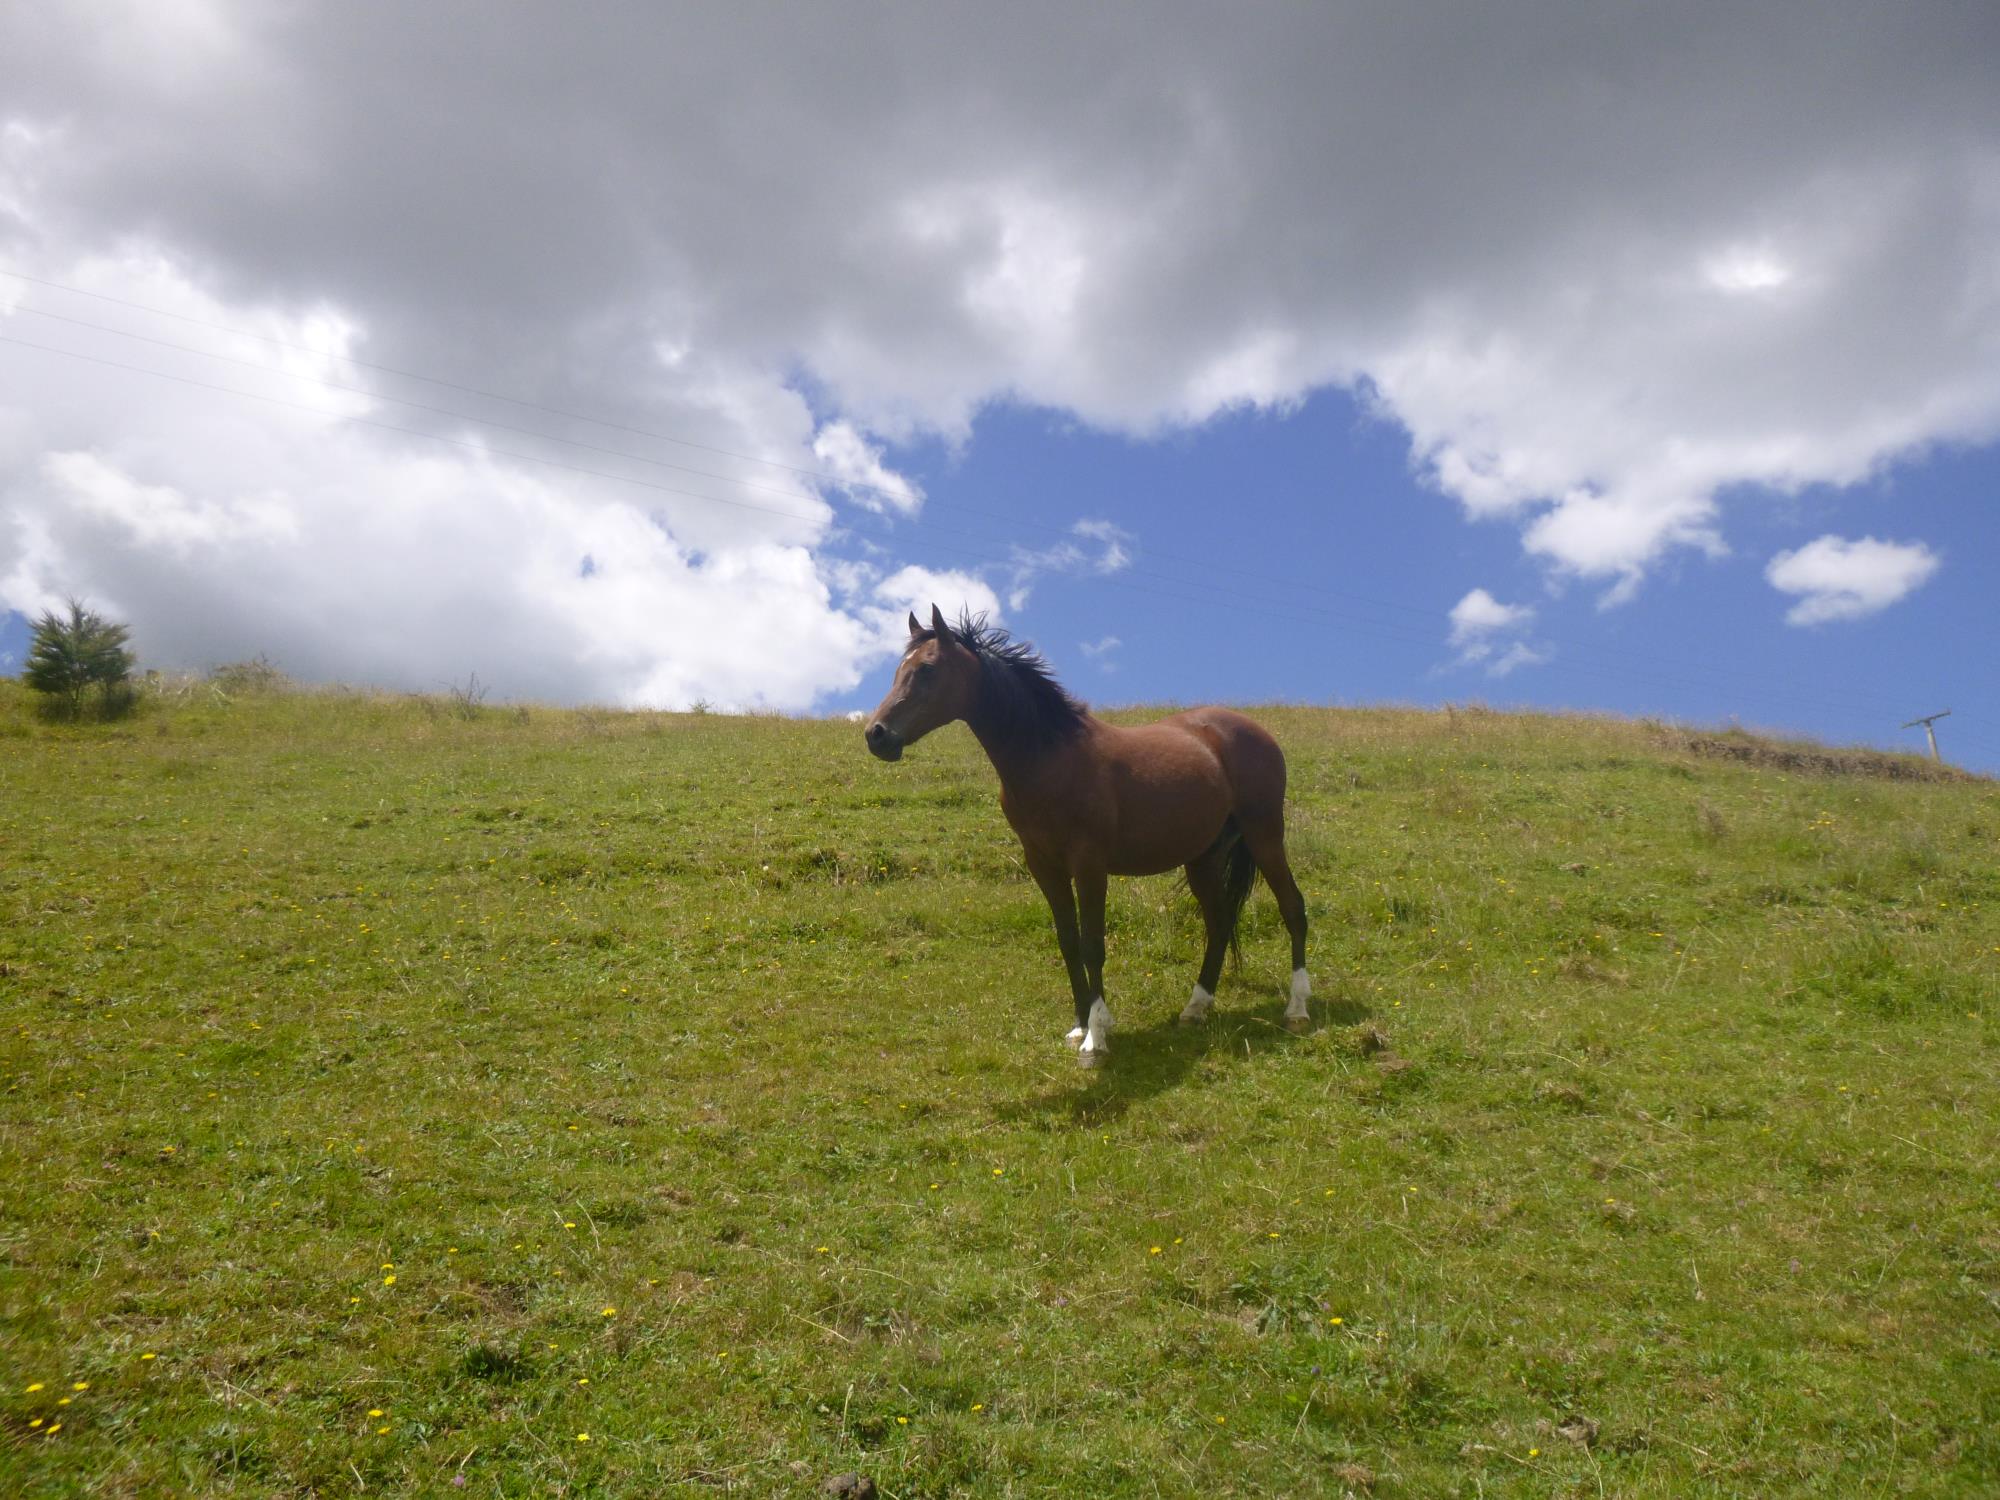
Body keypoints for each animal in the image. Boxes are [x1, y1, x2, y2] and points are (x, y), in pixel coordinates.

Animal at [864, 604, 1312, 1072]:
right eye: (899, 670)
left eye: (927, 670)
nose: (877, 735)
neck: (1050, 759)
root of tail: (1254, 731)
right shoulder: (1044, 865)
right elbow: (1067, 941)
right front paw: (1081, 1024)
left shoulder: (1089, 865)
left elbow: (1093, 944)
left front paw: (1096, 1038)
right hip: (1203, 858)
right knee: (1220, 922)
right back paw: (1195, 1007)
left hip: (1265, 835)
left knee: (1293, 908)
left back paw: (1297, 1009)